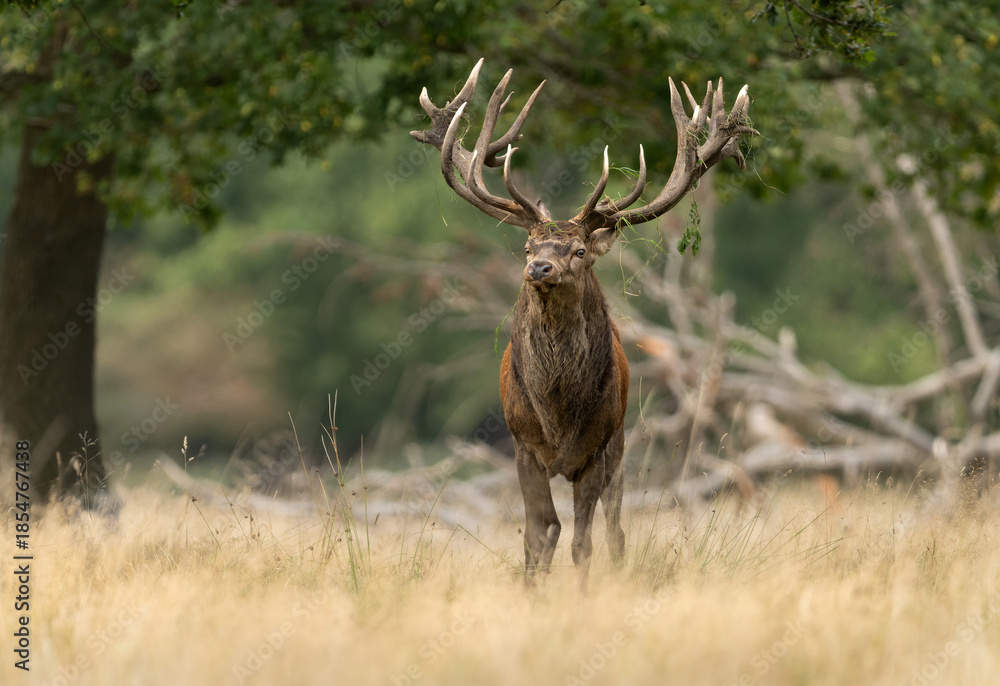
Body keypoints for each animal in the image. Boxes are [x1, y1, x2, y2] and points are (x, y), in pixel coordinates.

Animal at [412, 60, 755, 587]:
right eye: (527, 247)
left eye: (577, 251)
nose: (540, 269)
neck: (557, 416)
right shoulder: (522, 445)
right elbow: (539, 533)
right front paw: (532, 590)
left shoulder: (597, 449)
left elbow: (583, 541)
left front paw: (584, 592)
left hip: (621, 443)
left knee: (615, 529)